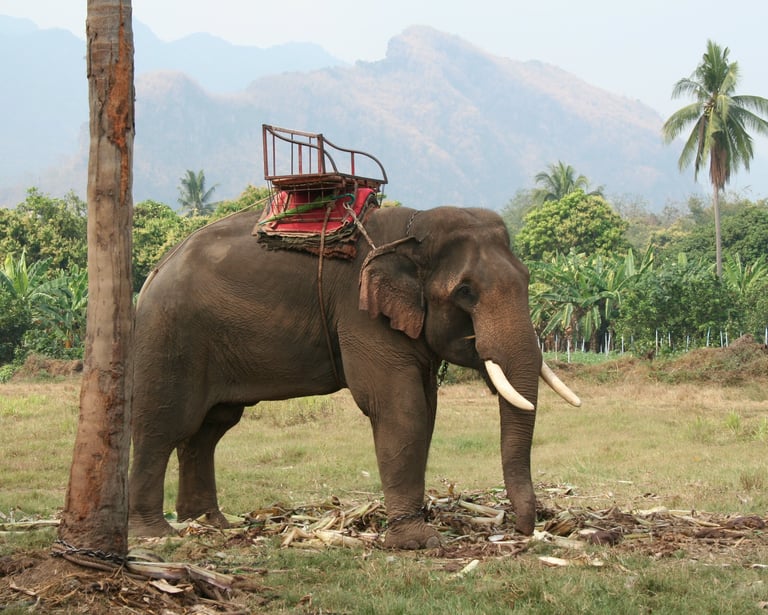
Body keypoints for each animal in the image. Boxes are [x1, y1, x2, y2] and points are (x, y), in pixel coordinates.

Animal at [128, 205, 580, 549]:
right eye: (465, 292)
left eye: (527, 279)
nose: (520, 529)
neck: (414, 229)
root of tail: (154, 272)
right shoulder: (362, 313)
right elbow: (400, 408)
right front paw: (420, 542)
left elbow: (426, 408)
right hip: (170, 335)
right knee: (166, 423)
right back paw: (156, 533)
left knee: (209, 428)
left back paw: (210, 523)